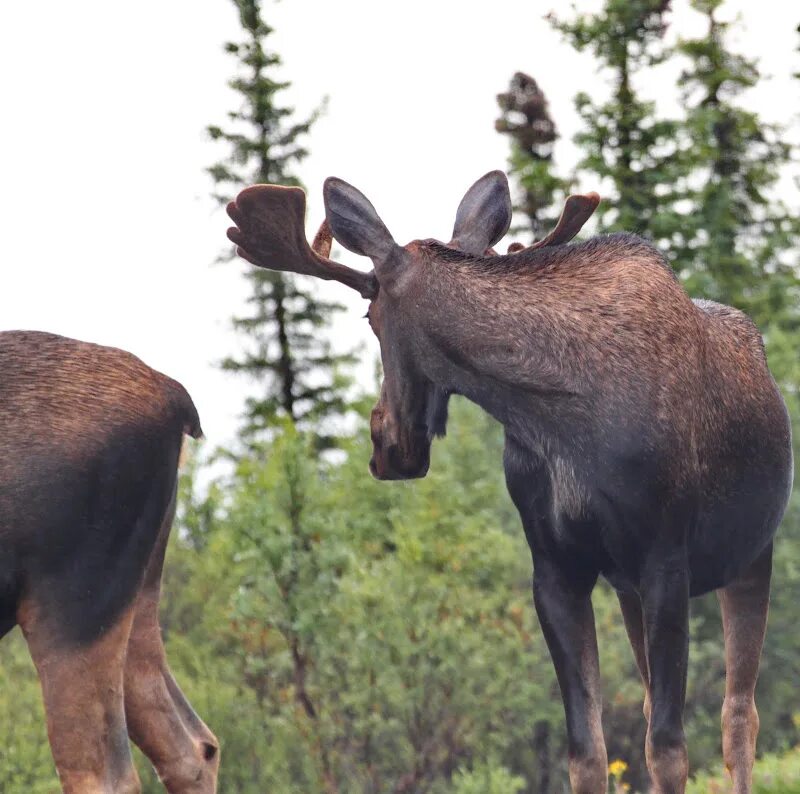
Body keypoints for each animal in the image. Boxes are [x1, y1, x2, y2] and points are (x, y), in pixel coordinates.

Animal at [227, 173, 792, 792]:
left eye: (371, 318)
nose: (385, 448)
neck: (557, 411)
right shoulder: (556, 569)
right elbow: (588, 750)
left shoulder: (665, 560)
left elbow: (668, 748)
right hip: (630, 589)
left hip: (750, 555)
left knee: (738, 717)